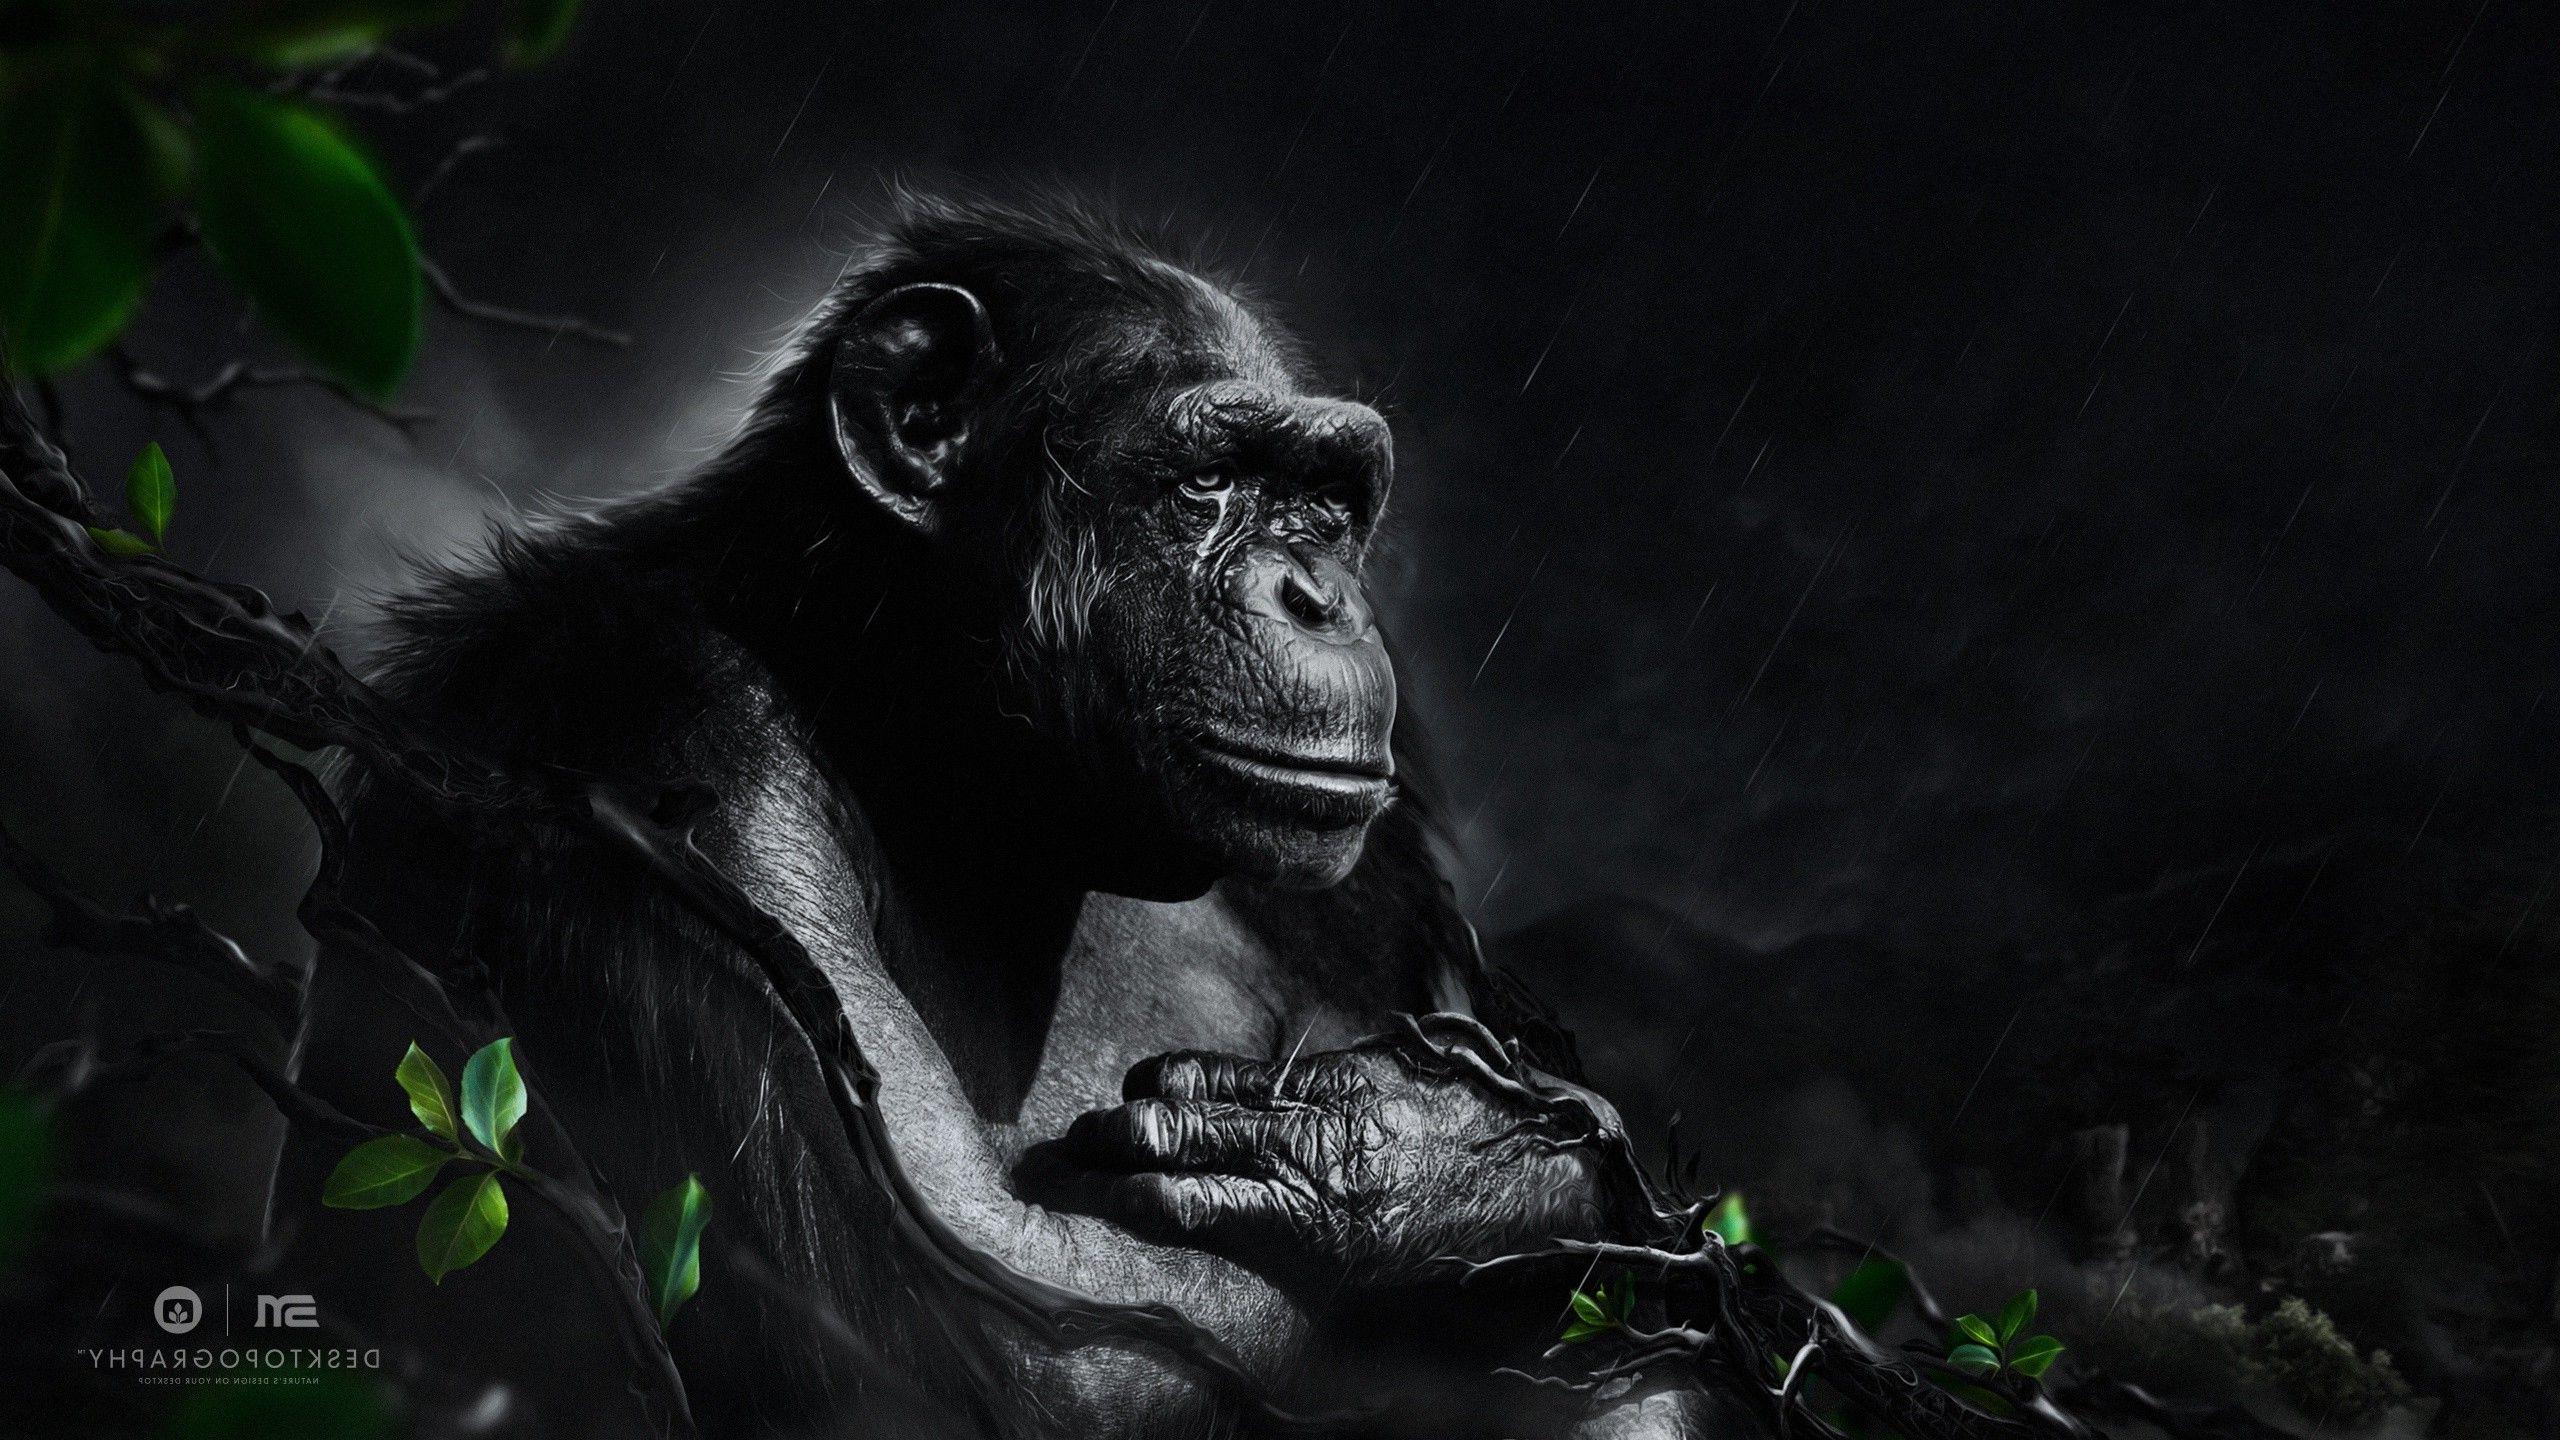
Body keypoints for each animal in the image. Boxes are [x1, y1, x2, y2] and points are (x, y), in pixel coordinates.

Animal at [288, 194, 1747, 1439]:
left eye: (1328, 504)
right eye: (1210, 482)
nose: (1319, 595)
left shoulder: (1385, 865)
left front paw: (1419, 1167)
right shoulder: (655, 736)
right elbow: (989, 1333)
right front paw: (1448, 1172)